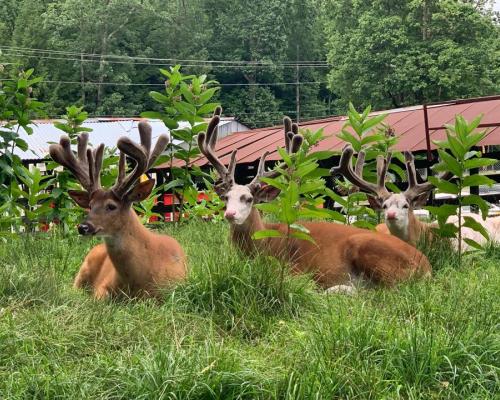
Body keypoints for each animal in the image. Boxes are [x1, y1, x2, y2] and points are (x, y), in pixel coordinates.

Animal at [197, 108, 432, 292]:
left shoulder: (293, 270)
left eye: (248, 198)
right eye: (226, 197)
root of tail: (426, 265)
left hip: (371, 251)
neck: (263, 243)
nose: (230, 214)